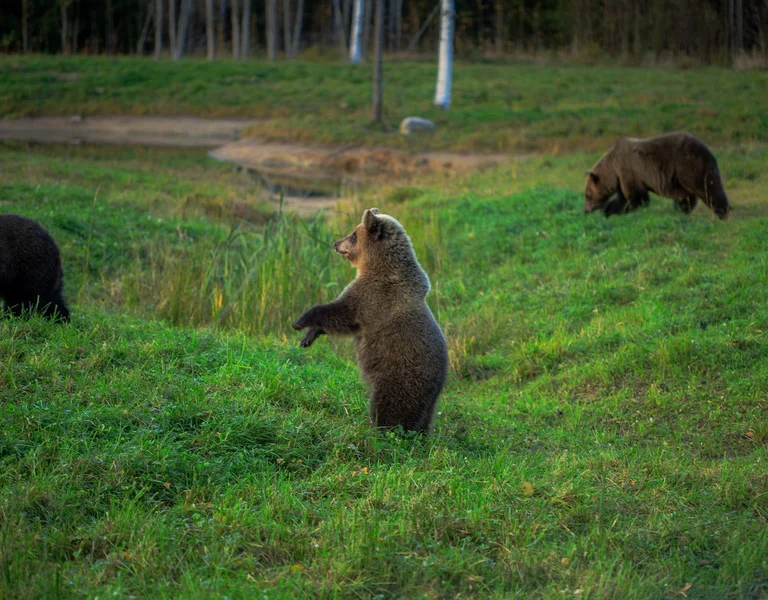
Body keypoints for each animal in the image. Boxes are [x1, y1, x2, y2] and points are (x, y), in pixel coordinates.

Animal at [292, 208, 448, 433]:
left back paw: (379, 430)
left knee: (389, 407)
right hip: (428, 405)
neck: (378, 266)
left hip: (398, 378)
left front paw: (300, 321)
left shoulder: (373, 297)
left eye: (353, 234)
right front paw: (308, 337)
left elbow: (342, 313)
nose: (335, 242)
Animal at [584, 132, 731, 220]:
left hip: (690, 166)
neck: (613, 169)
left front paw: (630, 209)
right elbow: (622, 199)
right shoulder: (622, 179)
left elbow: (638, 198)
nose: (585, 210)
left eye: (587, 195)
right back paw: (681, 210)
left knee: (709, 189)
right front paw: (608, 210)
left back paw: (723, 213)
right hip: (681, 177)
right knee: (688, 196)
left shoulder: (629, 171)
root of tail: (709, 151)